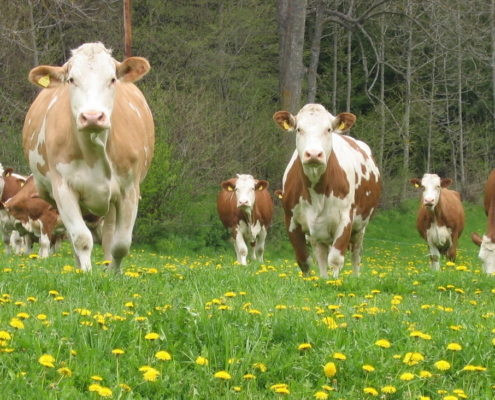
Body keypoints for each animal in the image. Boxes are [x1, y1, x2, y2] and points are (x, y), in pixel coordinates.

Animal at [22, 41, 154, 272]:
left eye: (112, 79)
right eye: (71, 80)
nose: (92, 116)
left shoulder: (129, 189)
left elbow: (121, 243)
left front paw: (114, 273)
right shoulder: (63, 189)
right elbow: (81, 239)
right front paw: (85, 273)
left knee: (109, 236)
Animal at [274, 103, 382, 278]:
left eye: (328, 129)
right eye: (299, 129)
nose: (313, 154)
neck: (316, 191)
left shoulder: (345, 219)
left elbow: (336, 259)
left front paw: (335, 281)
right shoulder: (291, 220)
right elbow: (304, 260)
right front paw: (311, 280)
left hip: (360, 226)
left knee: (356, 253)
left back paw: (355, 277)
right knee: (321, 254)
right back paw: (324, 278)